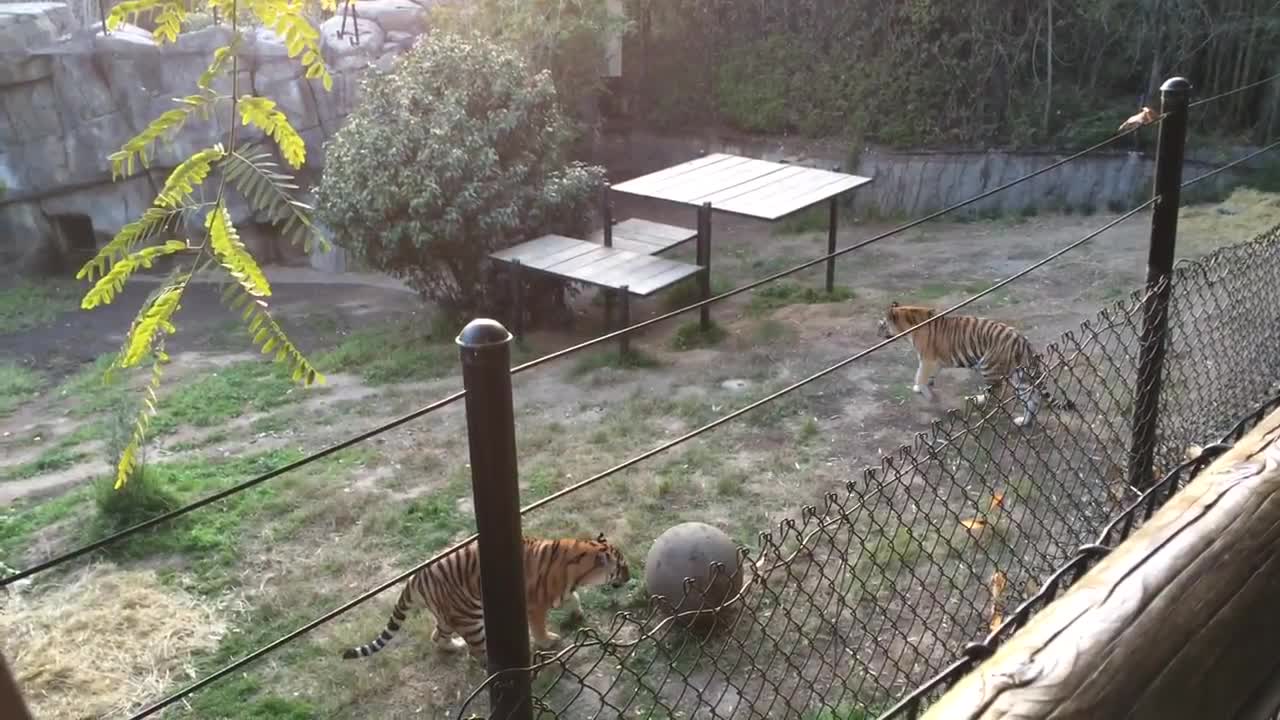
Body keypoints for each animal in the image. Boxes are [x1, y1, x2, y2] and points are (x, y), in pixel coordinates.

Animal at [343, 532, 632, 655]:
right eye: (621, 567)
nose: (630, 577)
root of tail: (416, 575)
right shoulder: (535, 605)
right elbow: (539, 626)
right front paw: (547, 641)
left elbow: (574, 598)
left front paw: (579, 614)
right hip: (470, 618)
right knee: (479, 653)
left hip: (449, 615)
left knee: (437, 636)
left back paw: (453, 646)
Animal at [875, 298, 1075, 425]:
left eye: (882, 324)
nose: (877, 333)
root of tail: (1022, 340)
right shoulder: (934, 362)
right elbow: (927, 377)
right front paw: (924, 388)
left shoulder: (927, 359)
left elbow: (919, 376)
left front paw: (927, 394)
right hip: (1020, 375)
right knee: (1032, 398)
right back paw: (1024, 422)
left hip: (989, 366)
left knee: (997, 394)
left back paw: (982, 406)